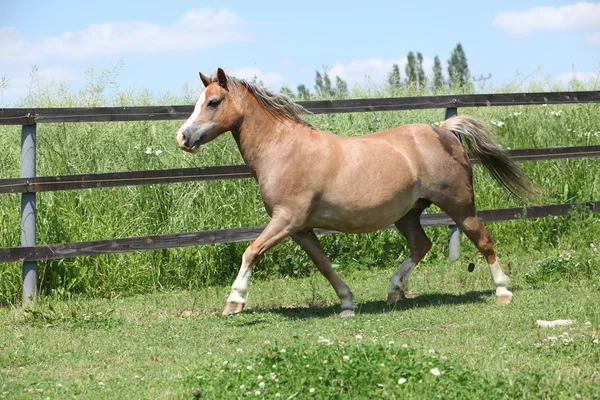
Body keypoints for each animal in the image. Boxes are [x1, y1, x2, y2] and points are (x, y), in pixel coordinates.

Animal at [175, 69, 540, 318]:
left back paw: (503, 291)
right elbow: (323, 265)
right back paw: (394, 292)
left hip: (459, 205)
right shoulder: (301, 228)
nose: (183, 138)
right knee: (421, 245)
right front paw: (347, 303)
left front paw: (234, 301)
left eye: (213, 102)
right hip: (408, 213)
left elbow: (251, 251)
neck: (282, 149)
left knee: (483, 239)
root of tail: (445, 131)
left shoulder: (286, 220)